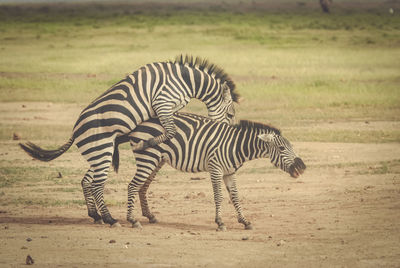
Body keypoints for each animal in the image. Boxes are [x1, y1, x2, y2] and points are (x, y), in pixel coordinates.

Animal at [18, 55, 239, 227]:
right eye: (230, 114)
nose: (225, 134)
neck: (185, 80)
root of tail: (75, 129)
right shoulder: (162, 102)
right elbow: (171, 131)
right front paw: (147, 143)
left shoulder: (166, 109)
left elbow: (170, 129)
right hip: (101, 150)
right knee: (96, 184)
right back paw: (110, 219)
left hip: (99, 152)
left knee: (87, 180)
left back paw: (95, 215)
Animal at [112, 112, 306, 231]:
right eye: (281, 148)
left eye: (290, 146)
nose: (302, 168)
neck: (236, 146)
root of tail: (138, 123)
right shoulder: (215, 168)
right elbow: (219, 196)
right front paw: (220, 223)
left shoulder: (229, 172)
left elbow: (235, 196)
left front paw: (244, 221)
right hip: (148, 158)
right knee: (132, 186)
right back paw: (133, 220)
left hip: (157, 160)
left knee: (142, 187)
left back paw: (149, 216)